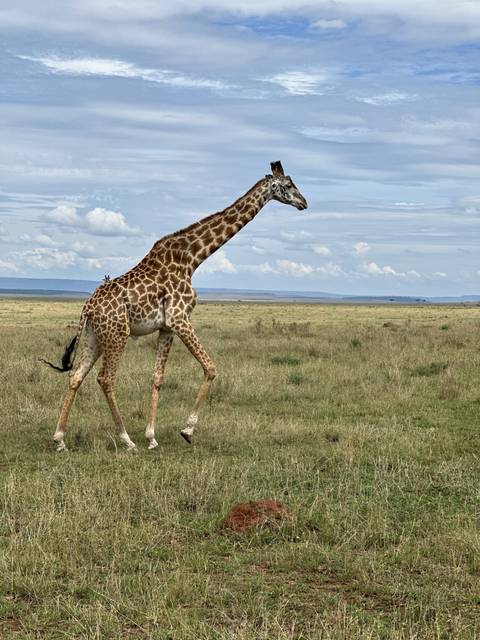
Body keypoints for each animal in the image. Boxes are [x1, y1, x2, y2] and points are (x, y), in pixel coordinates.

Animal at [42, 161, 308, 451]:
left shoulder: (167, 327)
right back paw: (126, 439)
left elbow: (157, 378)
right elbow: (210, 368)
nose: (304, 203)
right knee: (105, 378)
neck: (193, 258)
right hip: (117, 334)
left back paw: (59, 439)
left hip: (95, 336)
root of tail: (87, 307)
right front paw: (187, 430)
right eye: (289, 184)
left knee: (76, 376)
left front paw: (152, 437)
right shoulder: (180, 318)